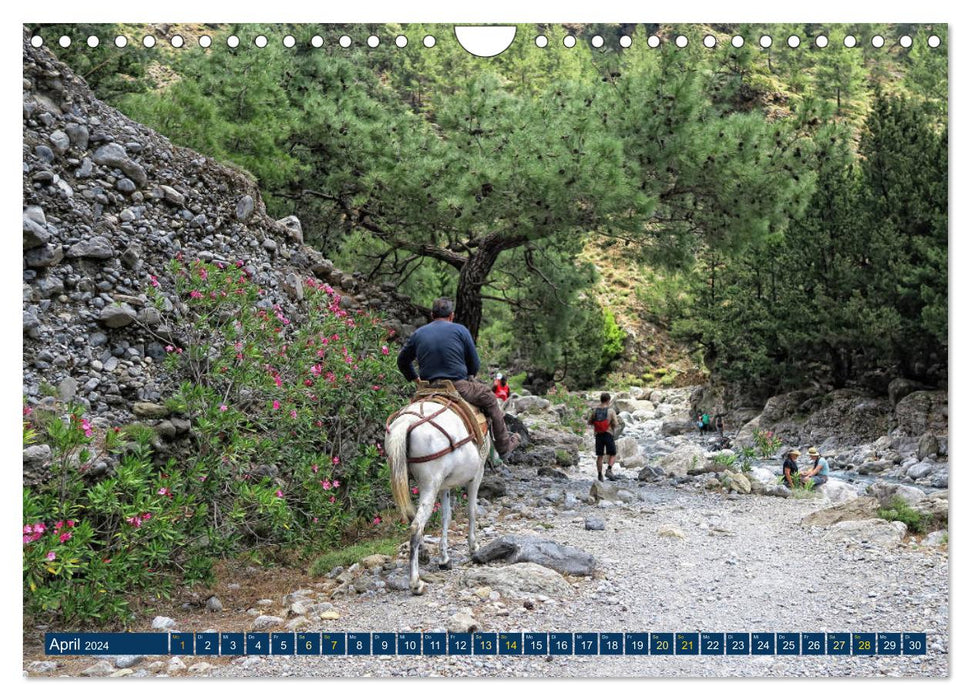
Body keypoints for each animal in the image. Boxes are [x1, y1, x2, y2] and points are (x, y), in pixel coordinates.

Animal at [390, 402, 494, 592]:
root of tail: (407, 421)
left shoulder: (444, 486)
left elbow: (446, 516)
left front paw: (444, 558)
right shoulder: (477, 475)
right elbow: (472, 511)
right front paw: (473, 546)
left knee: (411, 517)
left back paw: (424, 555)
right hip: (430, 484)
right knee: (416, 526)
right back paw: (415, 582)